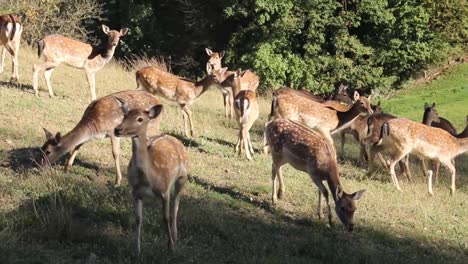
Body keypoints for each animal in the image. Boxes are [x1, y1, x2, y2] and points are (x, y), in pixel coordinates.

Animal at [113, 97, 188, 256]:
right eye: (125, 115)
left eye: (140, 119)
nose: (117, 129)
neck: (148, 177)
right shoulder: (136, 192)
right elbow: (138, 219)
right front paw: (137, 250)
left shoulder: (164, 190)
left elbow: (165, 217)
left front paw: (170, 246)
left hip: (183, 177)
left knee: (176, 204)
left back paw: (175, 236)